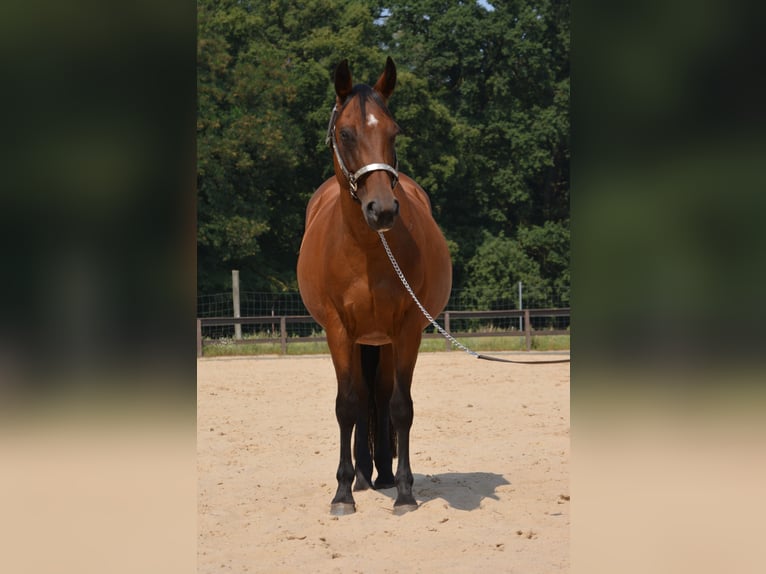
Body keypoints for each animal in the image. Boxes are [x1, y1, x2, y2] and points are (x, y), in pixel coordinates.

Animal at [297, 57, 452, 515]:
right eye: (346, 133)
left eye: (393, 131)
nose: (381, 209)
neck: (367, 249)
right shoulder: (338, 331)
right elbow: (347, 406)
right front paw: (343, 492)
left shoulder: (407, 330)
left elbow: (400, 406)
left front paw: (404, 491)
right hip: (362, 340)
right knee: (363, 397)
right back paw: (363, 476)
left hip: (382, 340)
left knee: (381, 397)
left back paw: (382, 472)